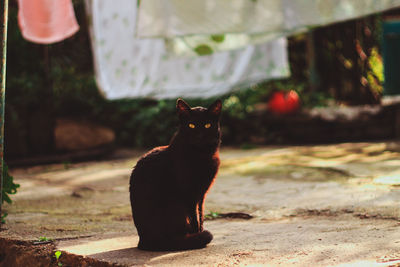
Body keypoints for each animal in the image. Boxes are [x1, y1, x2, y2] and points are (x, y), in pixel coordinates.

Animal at [129, 98, 220, 251]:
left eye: (208, 125)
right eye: (191, 125)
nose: (200, 135)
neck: (201, 155)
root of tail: (144, 241)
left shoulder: (201, 194)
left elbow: (200, 214)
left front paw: (200, 232)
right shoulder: (189, 194)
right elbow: (194, 218)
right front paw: (198, 235)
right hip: (175, 204)